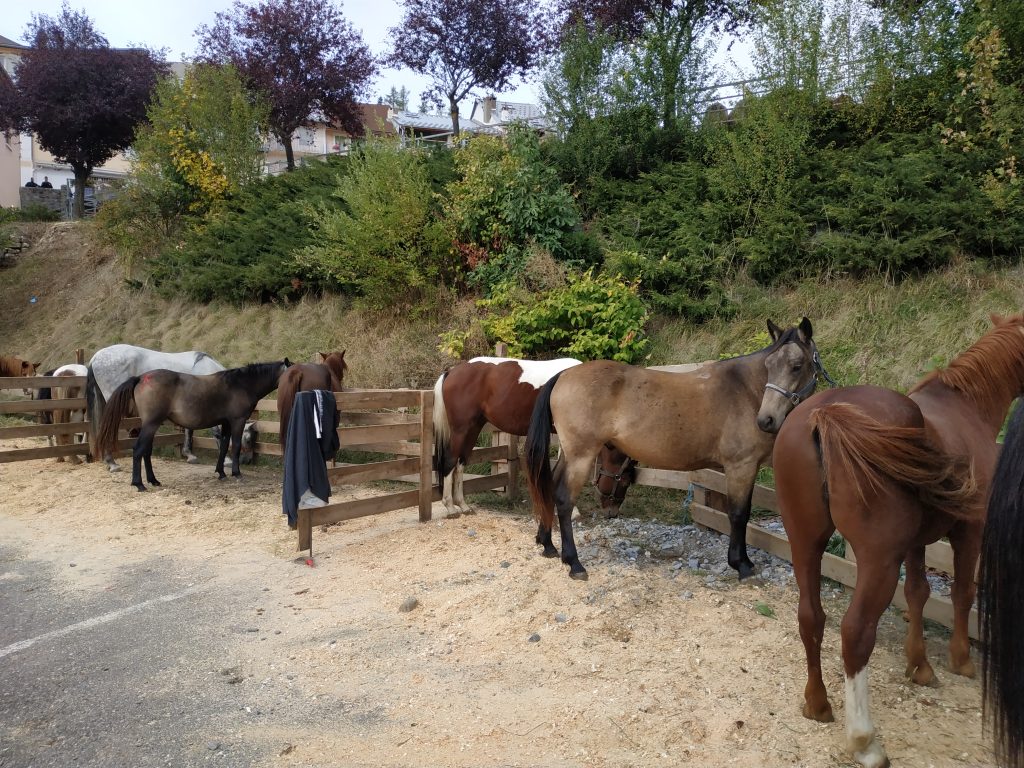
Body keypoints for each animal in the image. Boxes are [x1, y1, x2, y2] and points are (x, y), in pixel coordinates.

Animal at [94, 362, 290, 493]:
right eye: (249, 439)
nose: (248, 460)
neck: (240, 384)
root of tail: (141, 378)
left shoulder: (225, 422)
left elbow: (223, 447)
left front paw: (221, 472)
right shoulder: (237, 421)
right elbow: (234, 447)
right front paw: (236, 472)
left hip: (151, 425)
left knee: (146, 452)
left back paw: (153, 480)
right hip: (151, 424)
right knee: (138, 450)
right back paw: (139, 484)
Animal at [528, 315, 823, 581]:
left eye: (796, 366)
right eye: (771, 365)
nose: (766, 420)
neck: (745, 390)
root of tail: (563, 375)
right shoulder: (741, 467)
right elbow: (739, 514)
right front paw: (742, 565)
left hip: (569, 455)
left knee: (549, 488)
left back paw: (548, 544)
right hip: (581, 456)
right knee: (564, 499)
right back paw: (574, 562)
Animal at [770, 313, 1024, 768]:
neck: (968, 409)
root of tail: (826, 413)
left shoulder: (916, 543)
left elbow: (918, 593)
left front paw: (919, 665)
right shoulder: (970, 530)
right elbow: (962, 592)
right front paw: (961, 659)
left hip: (805, 543)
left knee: (811, 617)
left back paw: (817, 704)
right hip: (877, 561)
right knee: (855, 633)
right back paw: (864, 741)